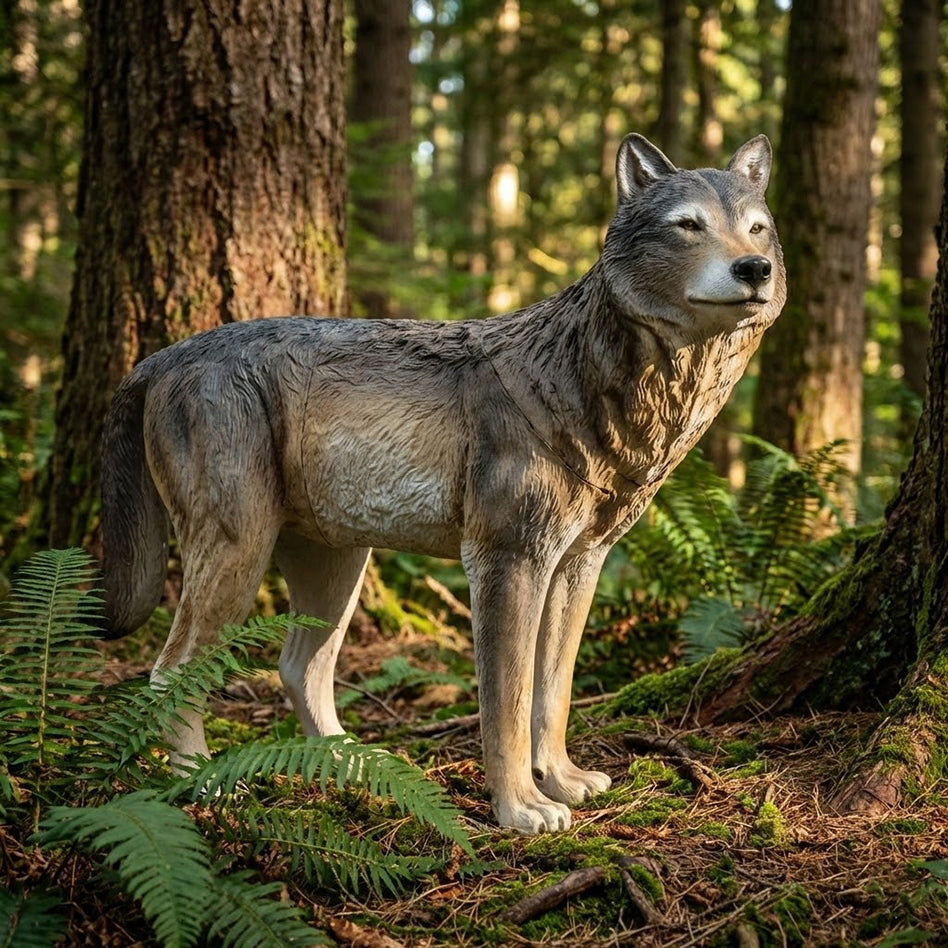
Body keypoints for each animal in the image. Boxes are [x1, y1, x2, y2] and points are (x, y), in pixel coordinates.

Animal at [101, 132, 785, 834]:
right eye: (689, 226)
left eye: (757, 229)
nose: (755, 268)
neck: (584, 381)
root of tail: (162, 357)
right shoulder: (506, 560)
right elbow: (506, 704)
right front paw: (520, 808)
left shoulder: (579, 565)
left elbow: (553, 693)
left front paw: (562, 781)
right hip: (239, 555)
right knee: (170, 673)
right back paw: (204, 785)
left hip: (338, 568)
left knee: (297, 670)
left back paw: (356, 768)